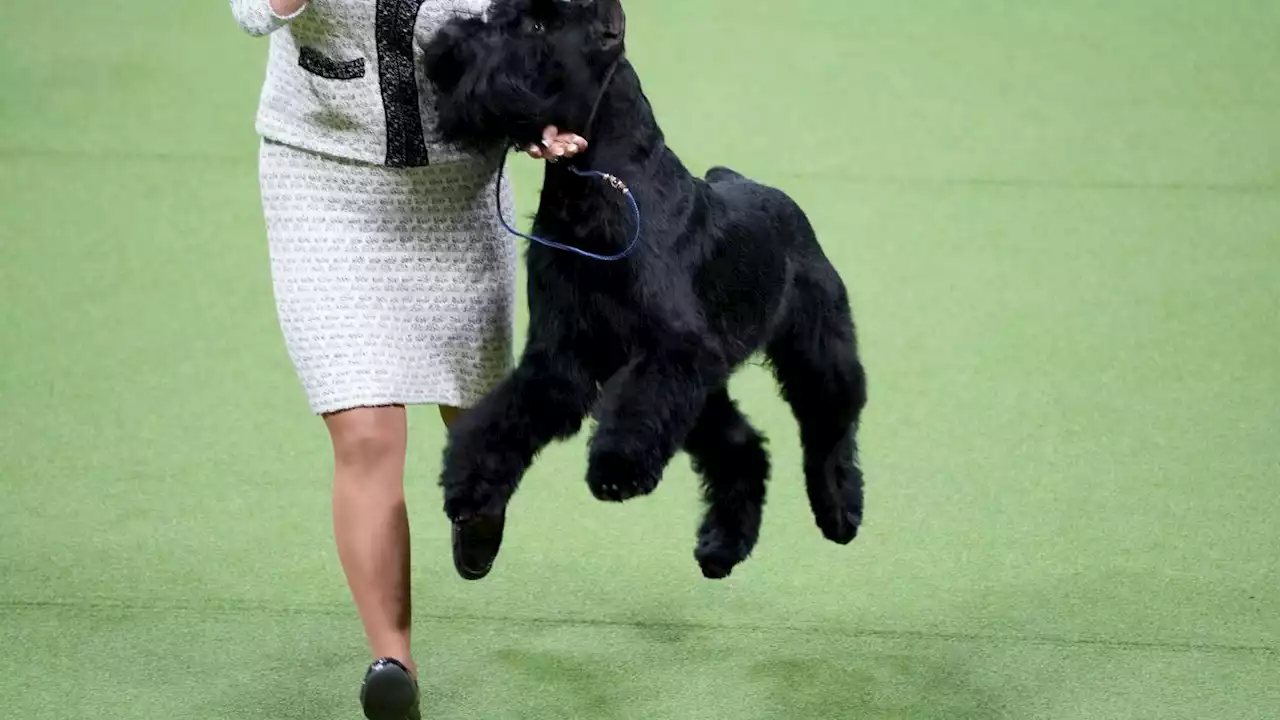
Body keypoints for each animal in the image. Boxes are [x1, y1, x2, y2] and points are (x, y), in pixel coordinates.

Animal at [424, 0, 865, 576]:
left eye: (538, 26)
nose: (444, 47)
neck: (597, 187)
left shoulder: (672, 352)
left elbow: (634, 414)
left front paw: (616, 468)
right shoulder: (562, 356)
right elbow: (503, 419)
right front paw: (470, 486)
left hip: (814, 351)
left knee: (831, 424)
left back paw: (840, 511)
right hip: (705, 396)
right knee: (742, 448)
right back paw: (722, 547)